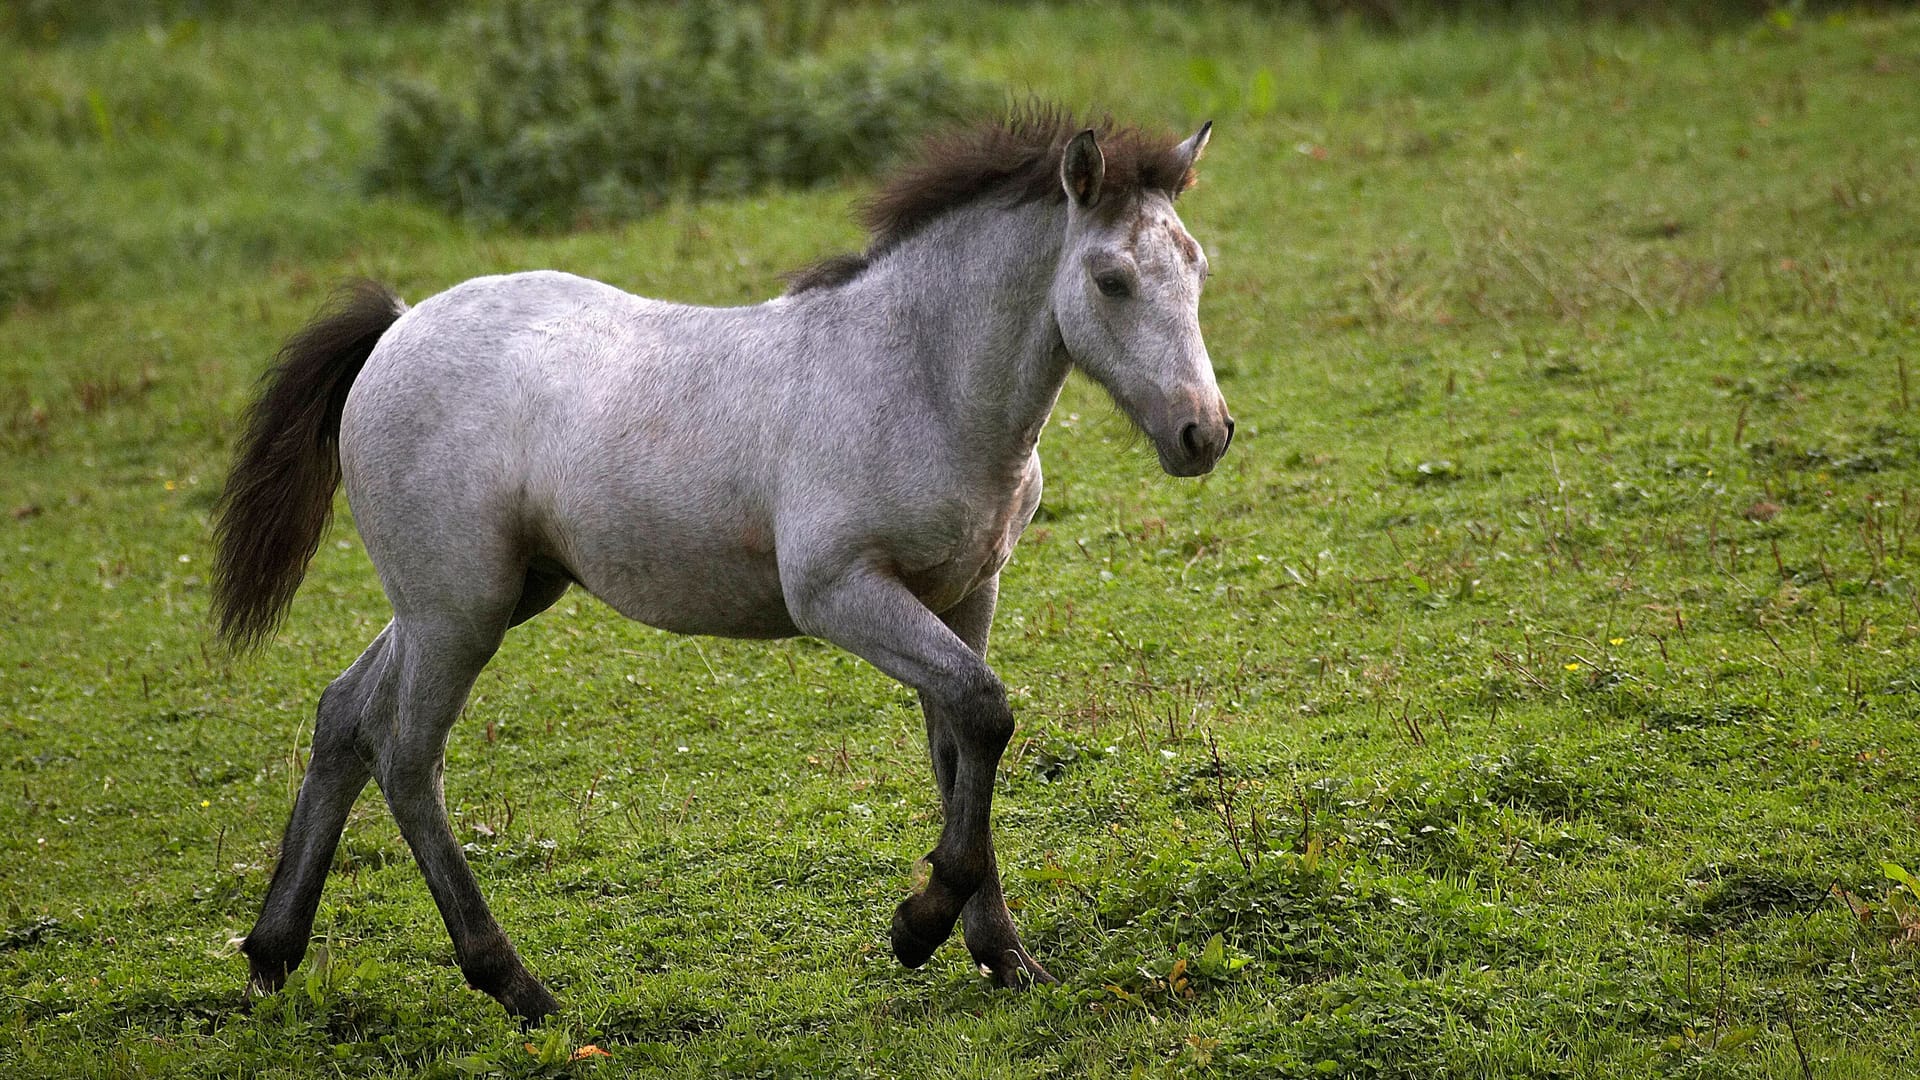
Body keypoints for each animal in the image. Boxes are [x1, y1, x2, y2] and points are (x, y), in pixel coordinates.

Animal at [210, 102, 1228, 1014]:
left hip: (478, 597)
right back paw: (516, 985)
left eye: (1196, 266)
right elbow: (984, 711)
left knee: (344, 717)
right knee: (408, 756)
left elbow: (958, 744)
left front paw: (1002, 954)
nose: (1203, 432)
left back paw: (272, 953)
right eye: (1109, 278)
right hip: (457, 609)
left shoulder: (967, 593)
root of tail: (398, 322)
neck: (917, 378)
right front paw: (919, 926)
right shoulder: (838, 591)